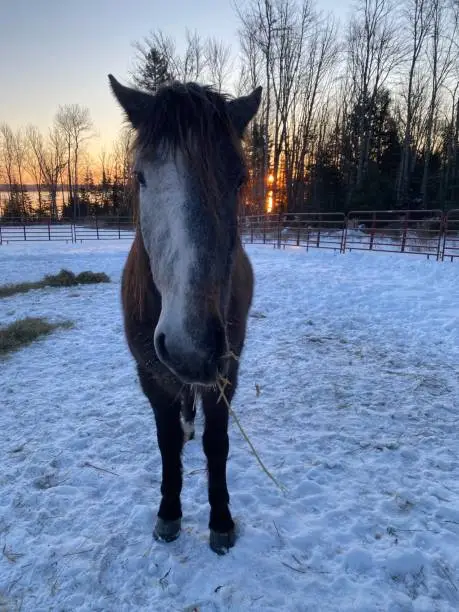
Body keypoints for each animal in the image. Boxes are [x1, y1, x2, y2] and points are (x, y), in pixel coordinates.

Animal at [107, 74, 262, 552]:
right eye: (140, 177)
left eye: (240, 179)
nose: (189, 347)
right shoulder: (150, 374)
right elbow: (166, 441)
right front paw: (169, 515)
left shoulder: (226, 370)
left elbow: (218, 443)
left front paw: (221, 521)